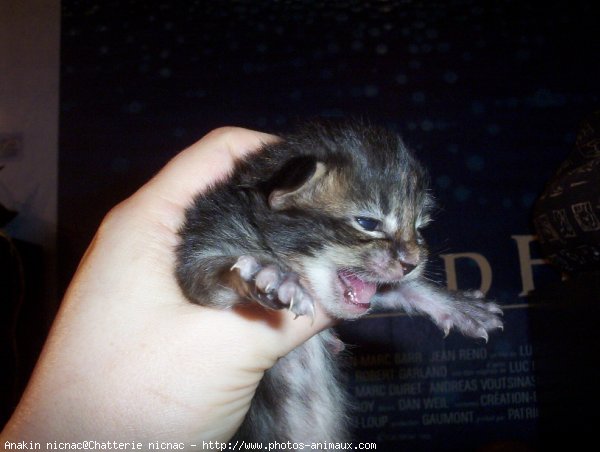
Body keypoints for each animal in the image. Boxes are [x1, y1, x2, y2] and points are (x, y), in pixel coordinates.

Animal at [173, 120, 502, 442]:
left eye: (419, 228)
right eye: (368, 223)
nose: (412, 262)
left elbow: (401, 288)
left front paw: (458, 306)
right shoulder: (204, 241)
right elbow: (211, 274)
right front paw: (268, 276)